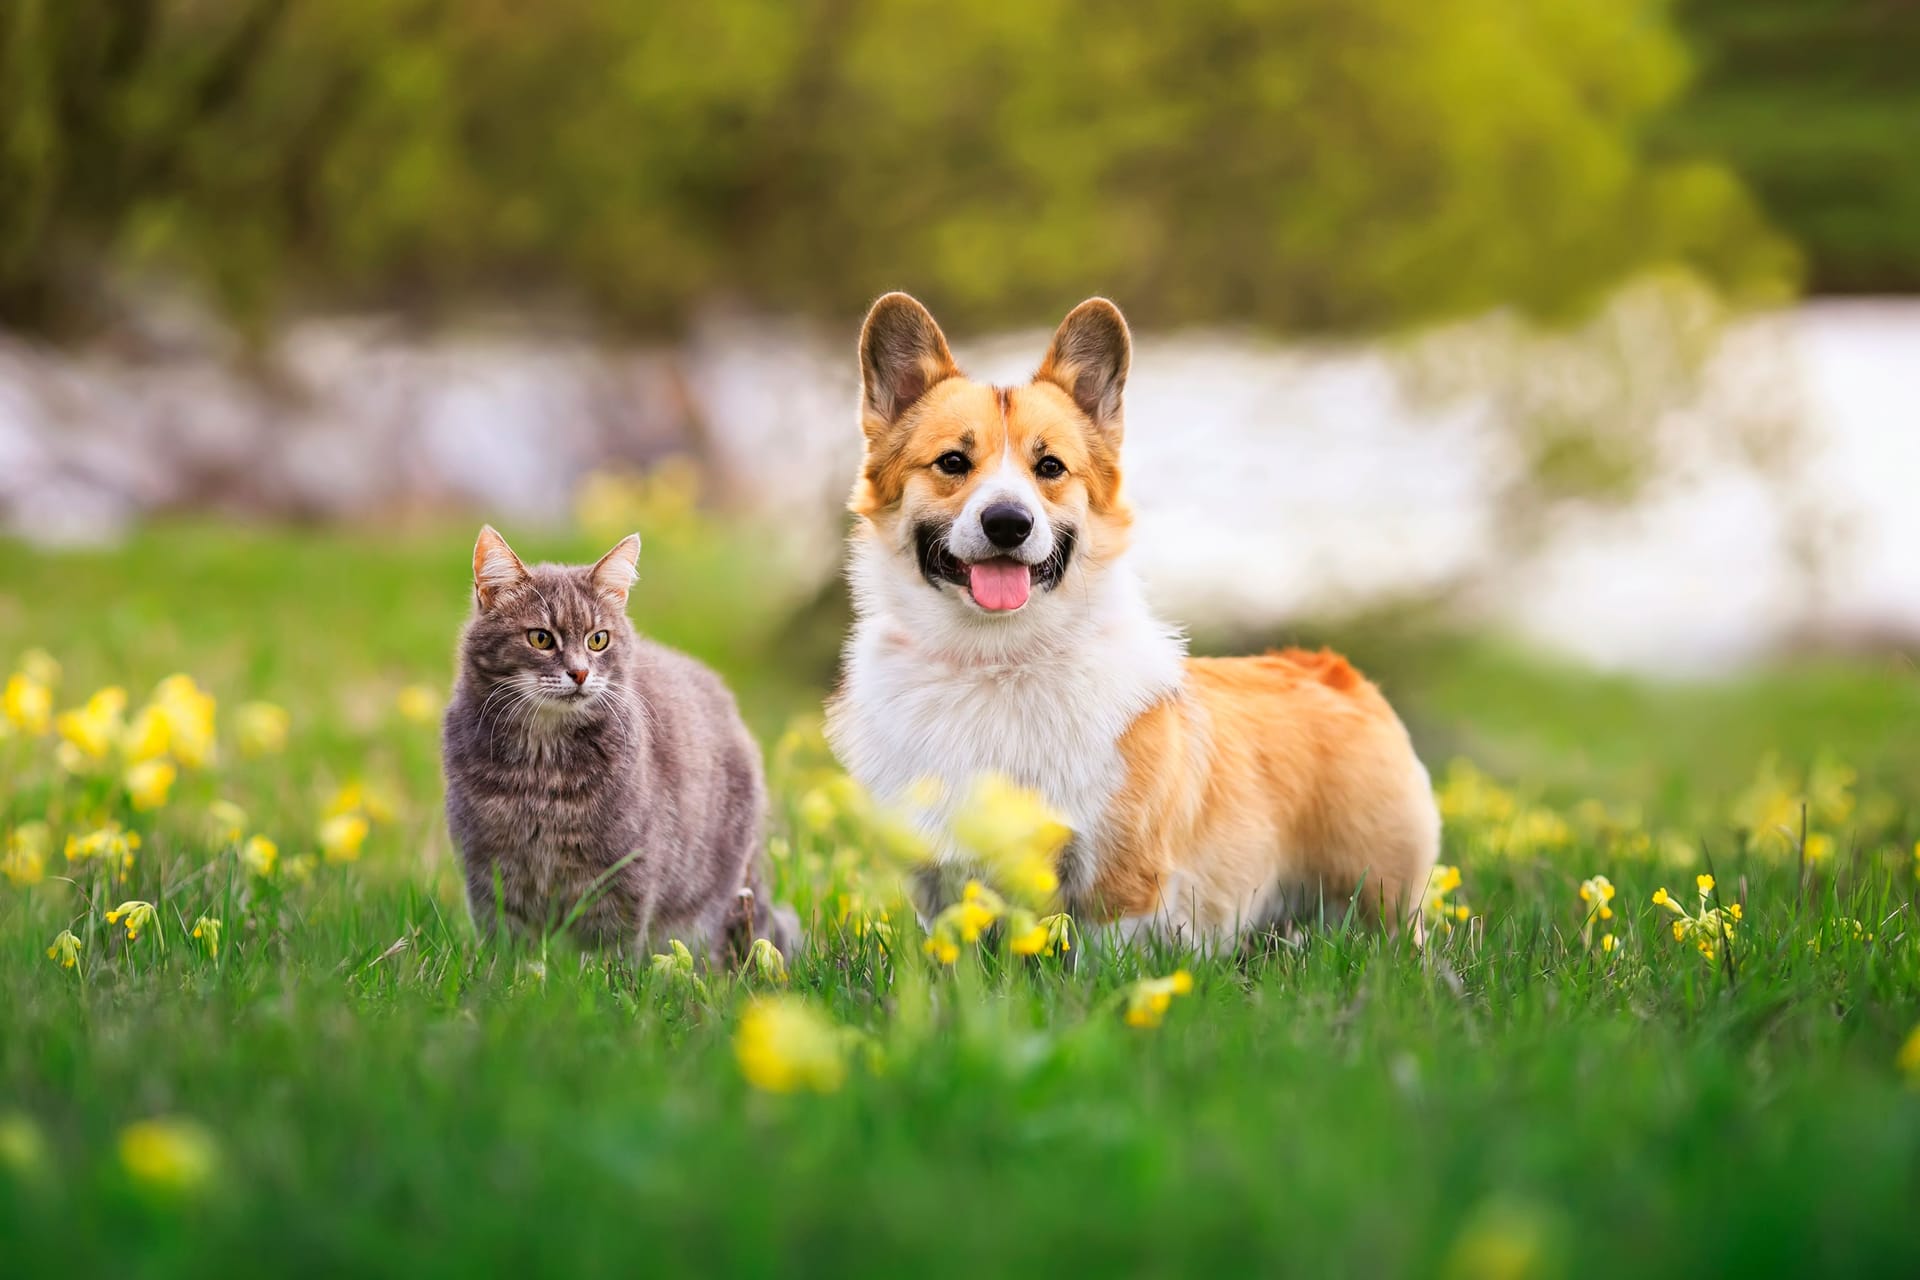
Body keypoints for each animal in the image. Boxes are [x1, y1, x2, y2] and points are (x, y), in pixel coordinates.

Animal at [441, 521, 794, 959]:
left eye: (598, 639)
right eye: (540, 638)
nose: (579, 673)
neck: (542, 767)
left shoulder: (623, 868)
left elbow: (609, 943)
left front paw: (597, 972)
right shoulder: (488, 864)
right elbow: (507, 939)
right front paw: (511, 971)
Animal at [825, 293, 1443, 951]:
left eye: (1050, 467)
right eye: (952, 462)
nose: (1008, 523)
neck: (996, 660)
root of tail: (1334, 671)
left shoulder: (1118, 879)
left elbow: (1099, 956)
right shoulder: (937, 881)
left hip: (1379, 897)